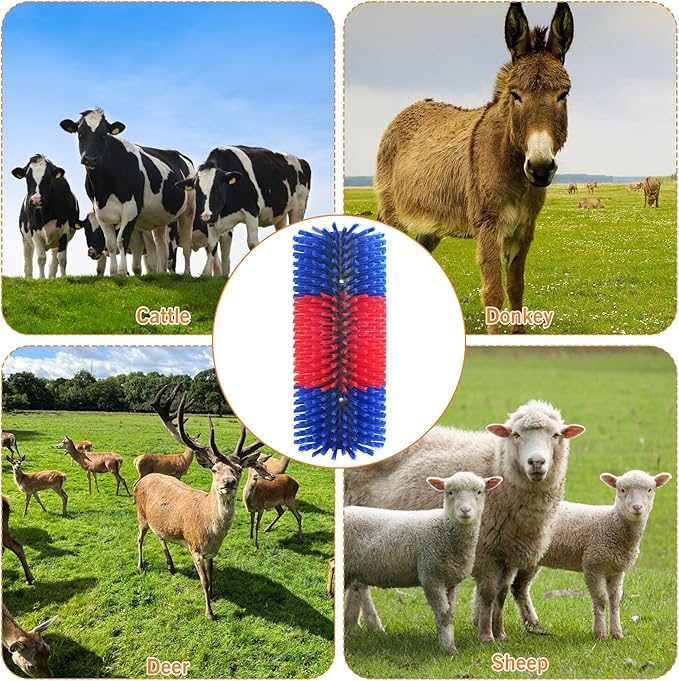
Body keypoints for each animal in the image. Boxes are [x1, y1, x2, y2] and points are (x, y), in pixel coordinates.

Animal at [59, 108, 196, 276]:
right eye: (80, 133)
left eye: (104, 134)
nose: (90, 159)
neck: (104, 189)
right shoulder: (100, 212)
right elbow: (111, 244)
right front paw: (113, 273)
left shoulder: (131, 209)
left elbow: (121, 240)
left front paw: (122, 271)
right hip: (160, 216)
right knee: (161, 246)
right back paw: (161, 274)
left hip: (188, 211)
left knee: (186, 244)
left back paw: (187, 273)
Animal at [176, 146, 311, 277]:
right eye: (197, 190)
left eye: (217, 188)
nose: (205, 216)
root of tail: (301, 160)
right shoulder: (214, 217)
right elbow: (212, 245)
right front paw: (208, 274)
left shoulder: (251, 211)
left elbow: (252, 243)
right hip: (280, 213)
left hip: (299, 206)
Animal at [345, 472, 503, 654]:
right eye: (450, 492)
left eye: (479, 492)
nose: (465, 510)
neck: (445, 529)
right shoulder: (431, 576)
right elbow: (443, 614)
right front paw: (448, 649)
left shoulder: (451, 581)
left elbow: (450, 613)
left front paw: (449, 644)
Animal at [511, 470, 672, 640]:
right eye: (622, 490)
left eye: (650, 490)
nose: (637, 507)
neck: (612, 524)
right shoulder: (593, 565)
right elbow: (600, 599)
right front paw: (600, 633)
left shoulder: (617, 569)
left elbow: (615, 599)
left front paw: (617, 633)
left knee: (519, 588)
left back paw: (534, 625)